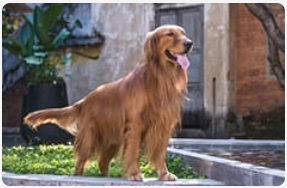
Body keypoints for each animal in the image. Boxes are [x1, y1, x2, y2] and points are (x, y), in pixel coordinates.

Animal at [24, 25, 194, 181]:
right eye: (170, 34)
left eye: (184, 33)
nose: (189, 43)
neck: (160, 77)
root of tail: (85, 100)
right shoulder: (135, 125)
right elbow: (132, 152)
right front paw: (134, 174)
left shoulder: (163, 125)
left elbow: (160, 154)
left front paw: (164, 174)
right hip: (90, 137)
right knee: (80, 163)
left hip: (112, 141)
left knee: (102, 163)